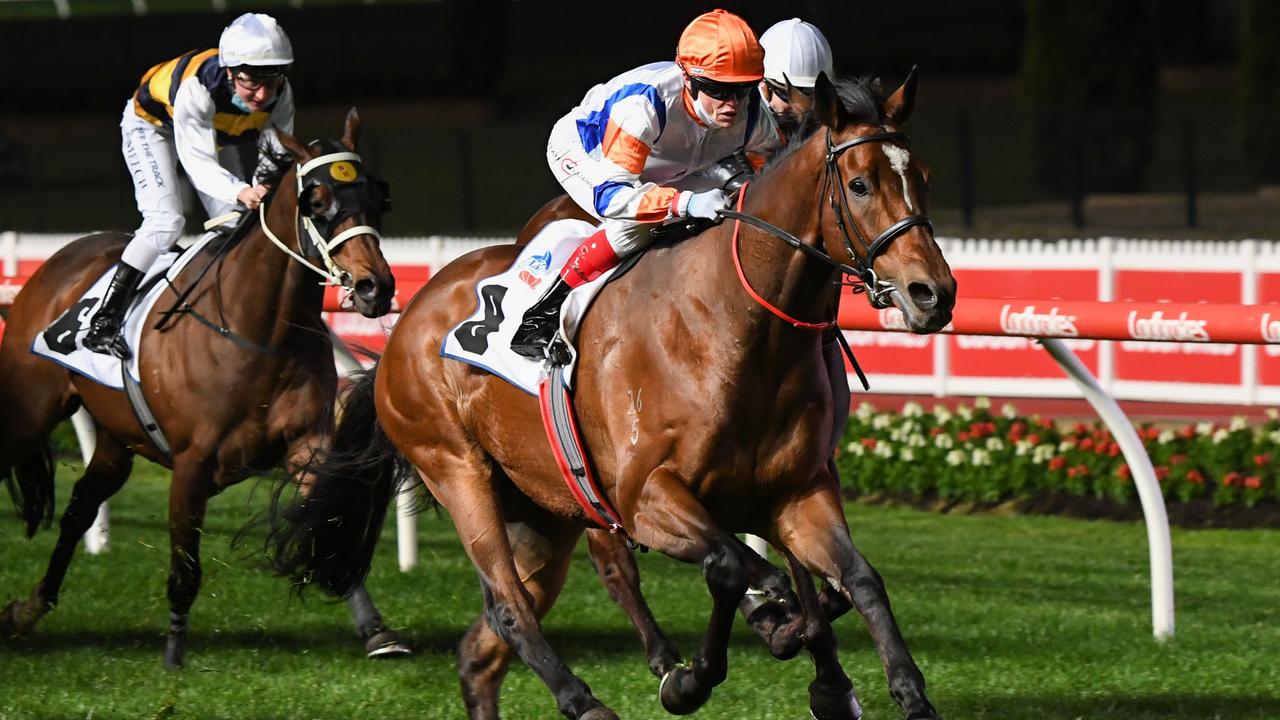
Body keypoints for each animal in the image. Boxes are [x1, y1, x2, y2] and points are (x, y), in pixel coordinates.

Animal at [1, 107, 404, 666]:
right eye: (317, 202)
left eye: (376, 198)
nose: (376, 288)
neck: (259, 331)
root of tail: (59, 261)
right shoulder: (191, 465)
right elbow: (185, 566)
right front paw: (174, 653)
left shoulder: (307, 446)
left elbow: (324, 526)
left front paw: (377, 632)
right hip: (27, 412)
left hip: (116, 438)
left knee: (80, 507)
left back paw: (29, 610)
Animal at [267, 74, 952, 717]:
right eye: (859, 184)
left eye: (922, 175)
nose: (934, 293)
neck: (734, 327)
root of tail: (405, 324)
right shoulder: (644, 497)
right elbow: (737, 568)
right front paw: (704, 668)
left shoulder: (796, 492)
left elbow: (858, 578)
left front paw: (897, 690)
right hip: (456, 469)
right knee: (510, 606)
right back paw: (586, 698)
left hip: (540, 511)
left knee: (482, 650)